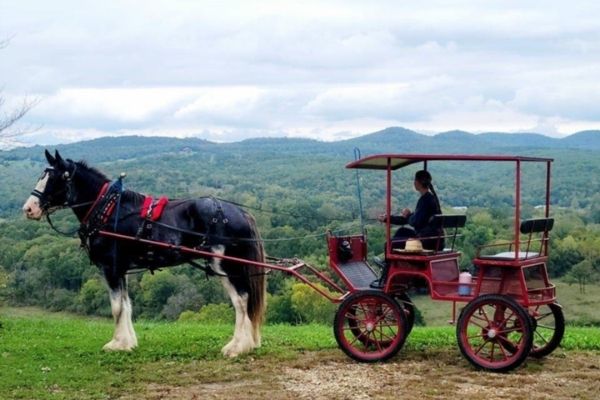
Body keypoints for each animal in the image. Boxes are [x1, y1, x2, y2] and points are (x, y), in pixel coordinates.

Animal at [21, 150, 264, 356]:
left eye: (55, 179)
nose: (28, 209)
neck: (108, 211)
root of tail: (241, 213)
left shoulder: (110, 268)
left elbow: (116, 307)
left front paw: (117, 344)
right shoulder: (122, 270)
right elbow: (126, 305)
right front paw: (128, 342)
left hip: (226, 265)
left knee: (241, 301)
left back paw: (237, 347)